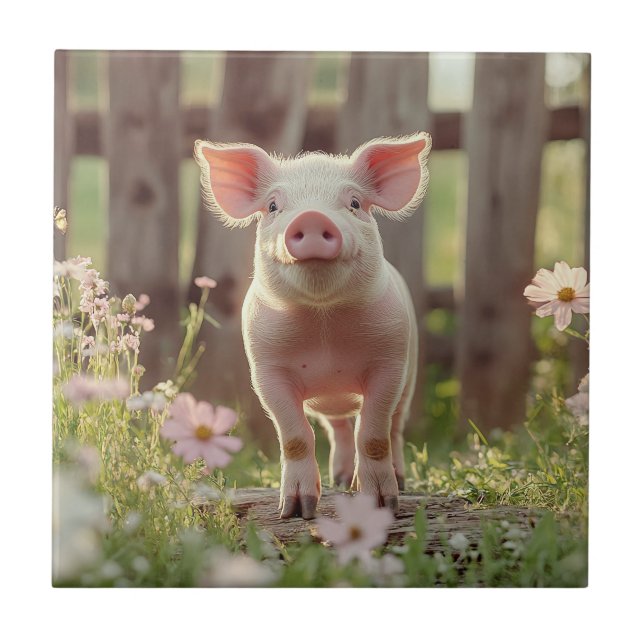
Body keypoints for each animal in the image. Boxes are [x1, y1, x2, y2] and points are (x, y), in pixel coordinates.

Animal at [194, 132, 431, 519]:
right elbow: (294, 438)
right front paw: (294, 513)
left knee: (394, 428)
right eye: (273, 206)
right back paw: (340, 480)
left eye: (354, 202)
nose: (311, 217)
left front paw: (381, 507)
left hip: (409, 378)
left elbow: (374, 436)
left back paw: (395, 481)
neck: (323, 325)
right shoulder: (266, 370)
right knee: (339, 428)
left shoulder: (390, 362)